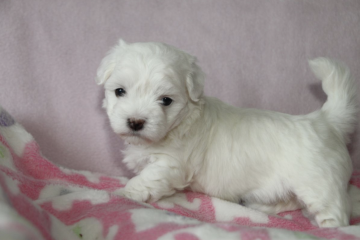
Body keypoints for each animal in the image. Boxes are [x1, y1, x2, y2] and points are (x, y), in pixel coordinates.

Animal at [96, 39, 358, 227]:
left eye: (166, 100)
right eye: (119, 91)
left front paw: (124, 193)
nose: (135, 122)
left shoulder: (170, 165)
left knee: (336, 211)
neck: (182, 122)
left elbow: (146, 179)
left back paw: (329, 228)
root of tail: (326, 120)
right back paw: (262, 208)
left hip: (319, 183)